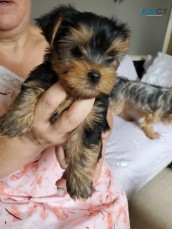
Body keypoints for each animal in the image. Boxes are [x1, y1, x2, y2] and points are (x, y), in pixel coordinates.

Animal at [0, 4, 130, 199]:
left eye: (110, 58)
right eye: (76, 50)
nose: (95, 75)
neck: (71, 90)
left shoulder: (94, 114)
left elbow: (85, 145)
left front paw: (79, 182)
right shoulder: (41, 76)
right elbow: (30, 89)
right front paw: (15, 120)